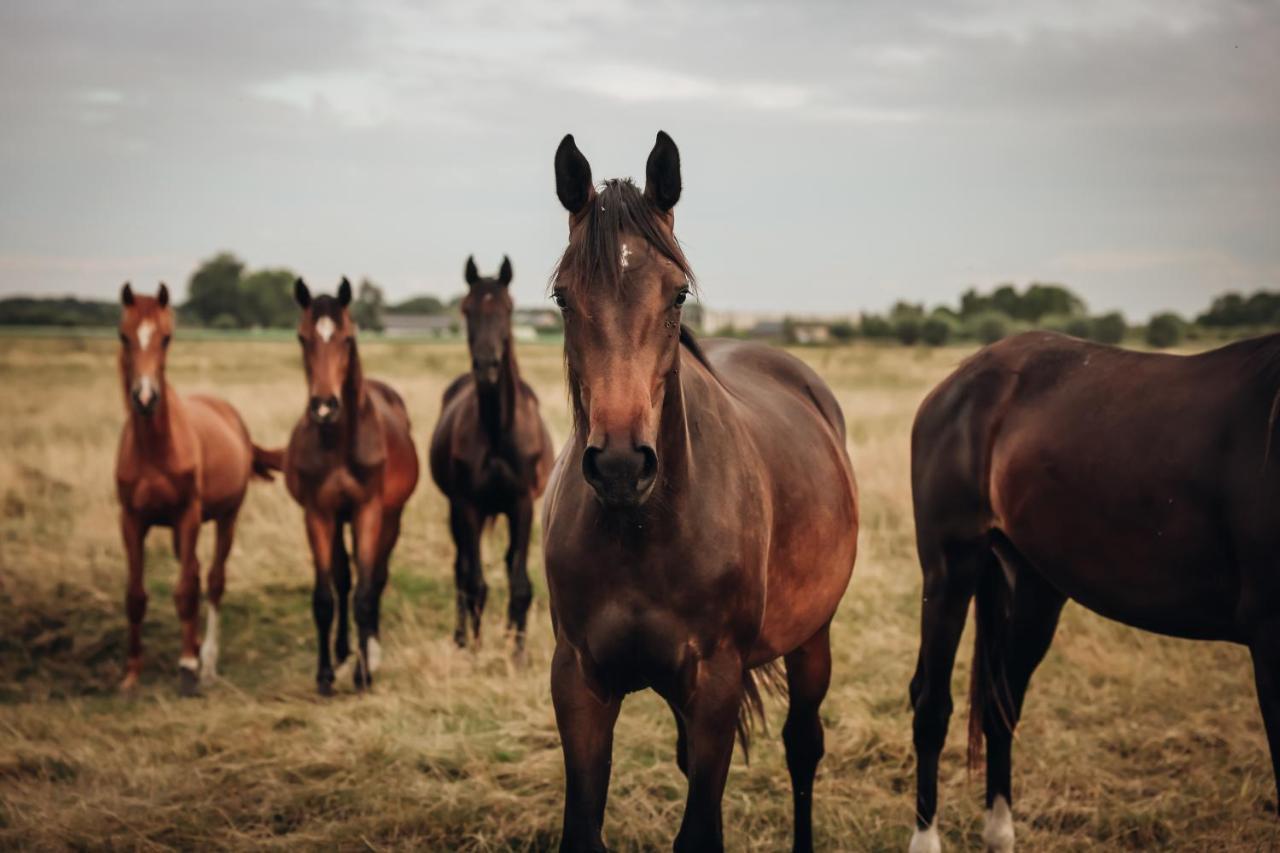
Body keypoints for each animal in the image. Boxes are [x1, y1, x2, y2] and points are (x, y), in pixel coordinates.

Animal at [113, 281, 281, 696]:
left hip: (226, 518)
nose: (145, 397)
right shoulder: (131, 520)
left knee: (213, 581)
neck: (156, 448)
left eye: (167, 337)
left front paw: (188, 666)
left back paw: (206, 663)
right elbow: (136, 595)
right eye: (124, 335)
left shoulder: (187, 515)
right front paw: (131, 673)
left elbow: (187, 590)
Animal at [284, 277, 419, 691]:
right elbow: (325, 596)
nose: (324, 406)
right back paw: (344, 649)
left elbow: (364, 592)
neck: (338, 441)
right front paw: (325, 673)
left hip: (390, 518)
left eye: (346, 338)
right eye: (302, 337)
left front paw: (363, 673)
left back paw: (369, 650)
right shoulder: (318, 514)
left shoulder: (368, 512)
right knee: (344, 579)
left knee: (374, 578)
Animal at [427, 252, 552, 650]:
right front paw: (474, 649)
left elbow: (521, 585)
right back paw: (461, 637)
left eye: (508, 309)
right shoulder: (468, 505)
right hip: (459, 512)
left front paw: (517, 652)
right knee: (462, 571)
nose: (487, 365)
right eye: (467, 309)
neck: (499, 430)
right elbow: (475, 584)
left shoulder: (522, 505)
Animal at [540, 128, 860, 850]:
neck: (644, 529)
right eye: (563, 297)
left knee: (804, 746)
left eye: (678, 294)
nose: (621, 463)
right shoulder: (579, 682)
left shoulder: (716, 681)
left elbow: (700, 830)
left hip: (812, 638)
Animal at [911, 327, 1280, 845]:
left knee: (1001, 706)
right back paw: (925, 841)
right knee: (931, 706)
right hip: (951, 572)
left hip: (1033, 588)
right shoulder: (1270, 641)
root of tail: (961, 377)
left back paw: (1000, 837)